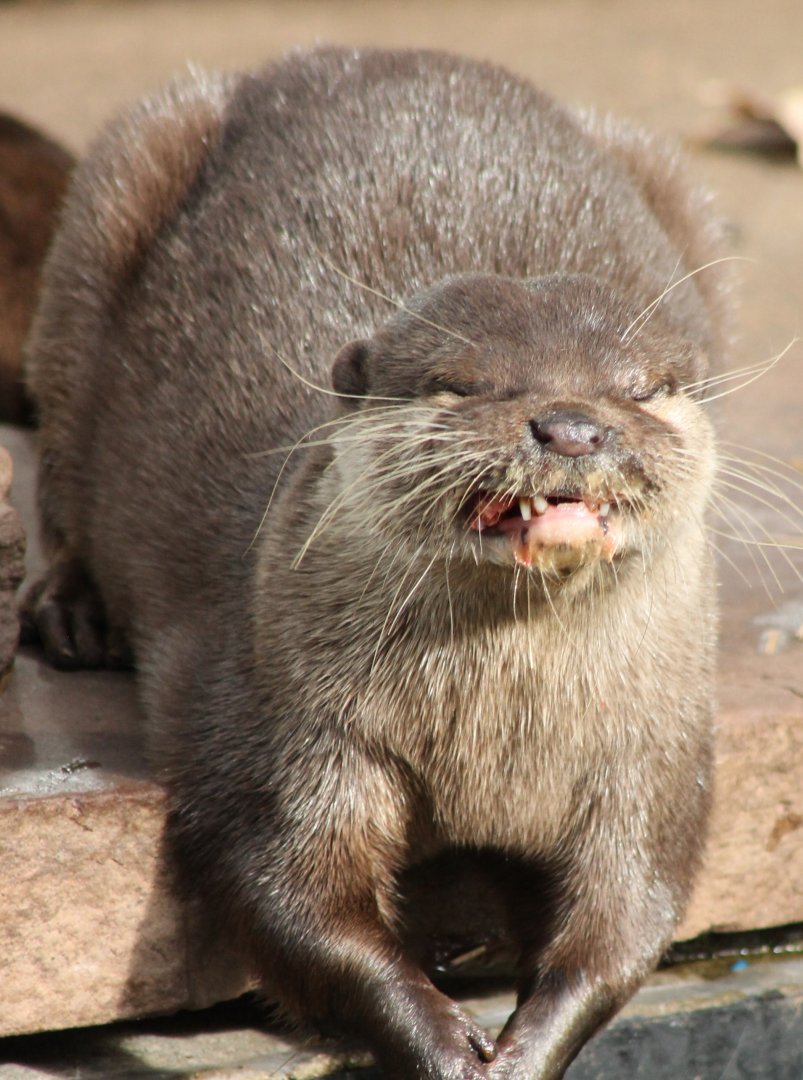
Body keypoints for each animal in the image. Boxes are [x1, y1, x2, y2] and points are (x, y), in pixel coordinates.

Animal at [23, 48, 730, 1080]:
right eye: (466, 384)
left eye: (637, 390)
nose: (570, 425)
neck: (496, 741)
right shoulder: (288, 715)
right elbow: (297, 896)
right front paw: (443, 1044)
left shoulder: (656, 747)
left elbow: (627, 917)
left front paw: (525, 1047)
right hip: (113, 197)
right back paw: (72, 611)